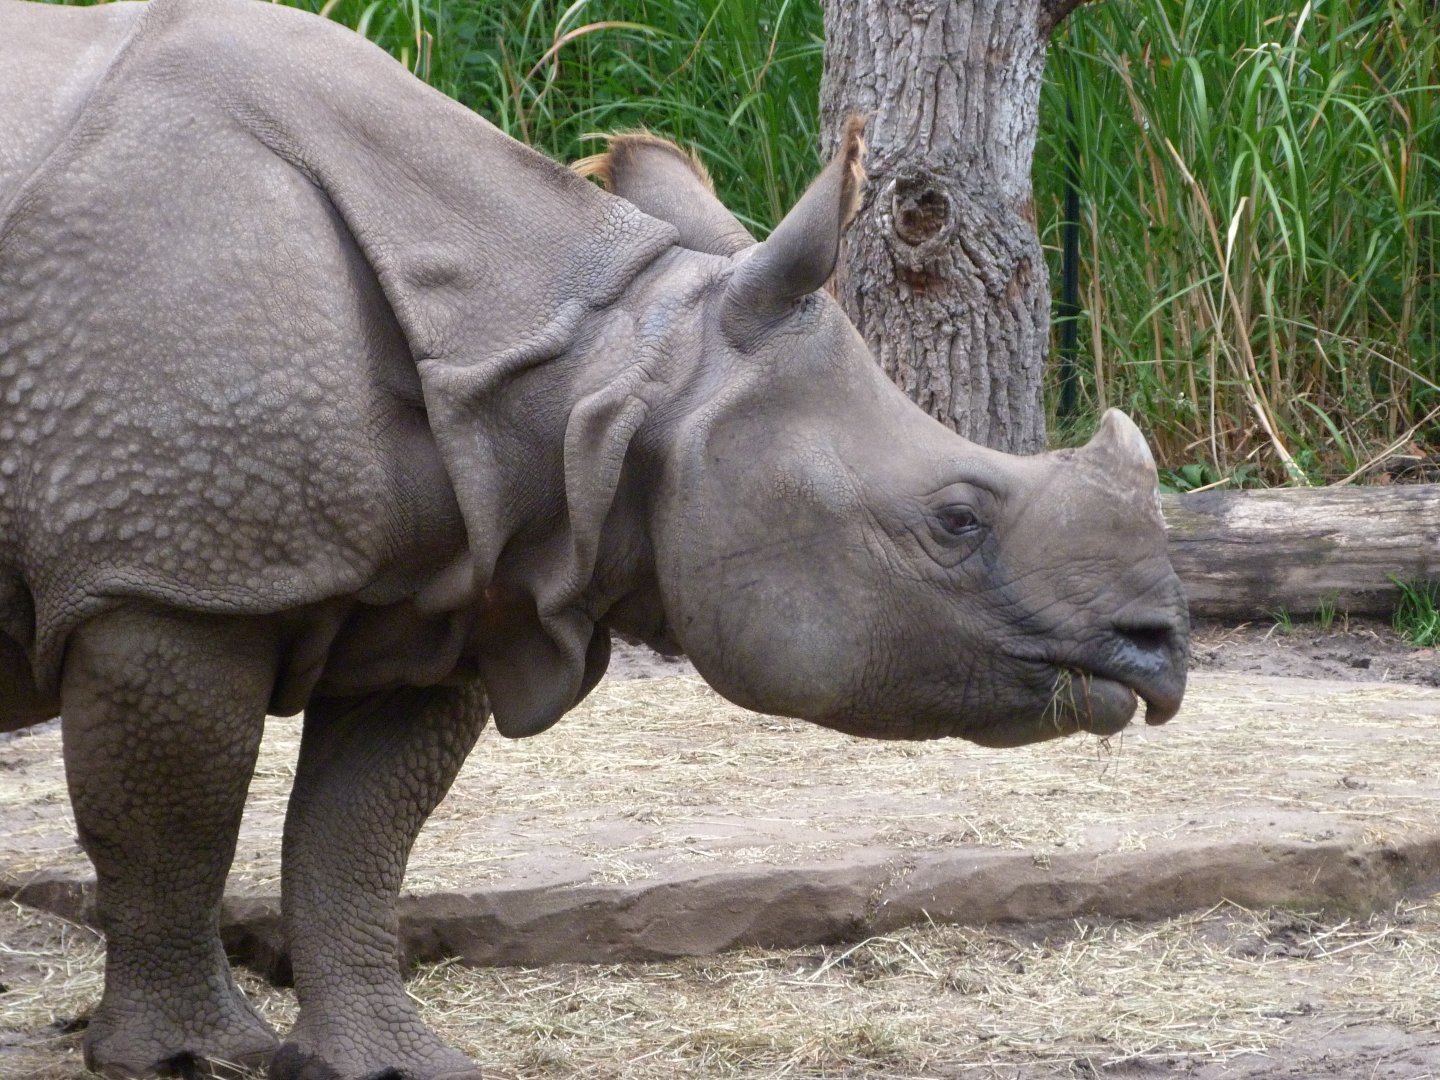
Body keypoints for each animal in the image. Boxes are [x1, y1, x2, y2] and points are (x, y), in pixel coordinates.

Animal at [0, 0, 1188, 1076]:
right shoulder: (159, 580)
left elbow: (355, 836)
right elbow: (169, 834)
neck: (596, 376)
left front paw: (393, 1064)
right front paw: (186, 1057)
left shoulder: (453, 588)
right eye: (956, 519)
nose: (1162, 652)